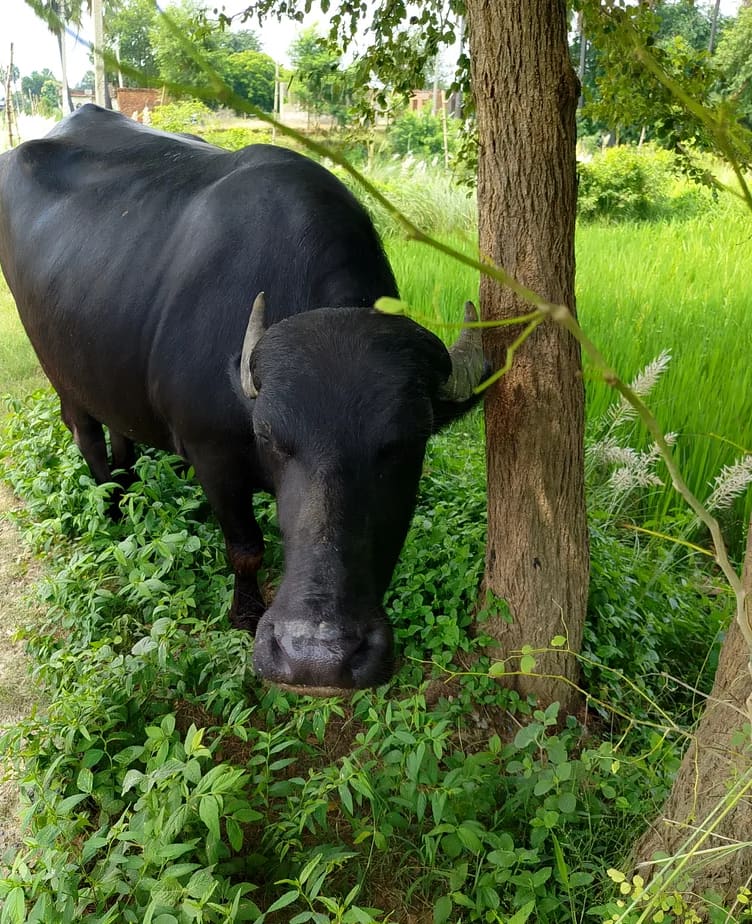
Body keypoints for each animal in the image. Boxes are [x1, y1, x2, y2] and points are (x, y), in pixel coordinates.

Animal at [0, 105, 486, 691]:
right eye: (271, 438)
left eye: (405, 445)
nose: (317, 657)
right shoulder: (213, 458)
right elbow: (247, 548)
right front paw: (245, 613)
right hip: (59, 369)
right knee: (86, 433)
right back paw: (114, 513)